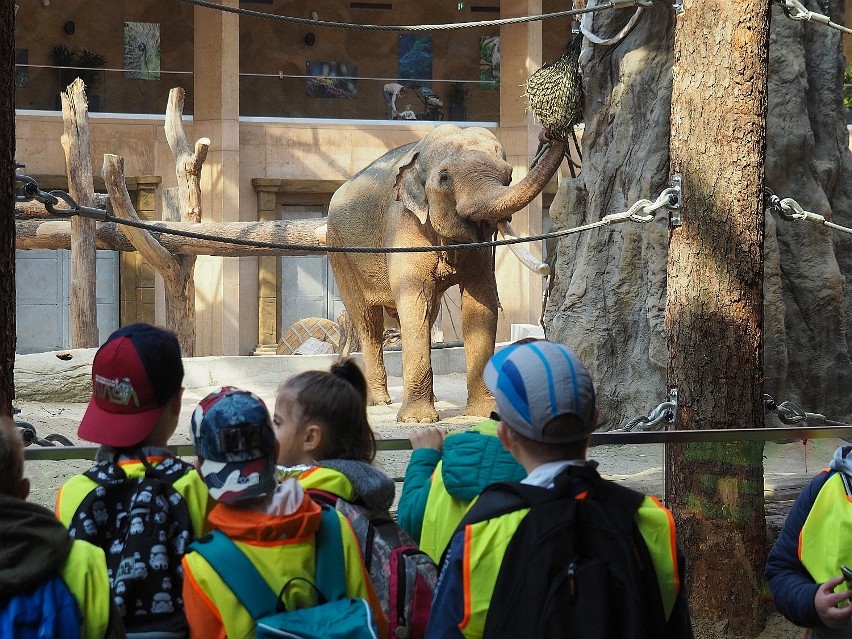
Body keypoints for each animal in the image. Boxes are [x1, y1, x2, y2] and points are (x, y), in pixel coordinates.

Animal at [326, 125, 564, 424]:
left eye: (509, 175)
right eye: (445, 178)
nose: (550, 134)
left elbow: (480, 304)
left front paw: (485, 413)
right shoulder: (403, 224)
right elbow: (415, 300)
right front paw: (417, 420)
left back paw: (432, 398)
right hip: (339, 250)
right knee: (367, 320)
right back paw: (379, 401)